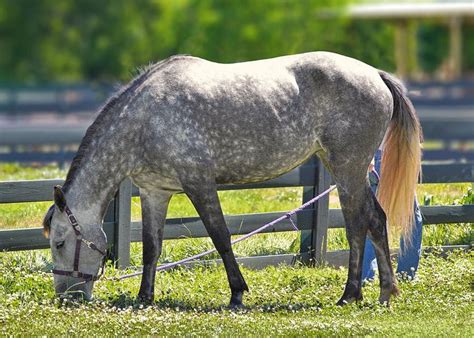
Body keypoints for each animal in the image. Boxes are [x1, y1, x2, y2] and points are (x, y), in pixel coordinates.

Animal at [43, 52, 422, 306]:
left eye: (59, 243)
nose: (66, 297)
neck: (146, 119)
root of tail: (375, 74)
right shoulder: (155, 192)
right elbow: (152, 247)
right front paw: (144, 297)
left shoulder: (199, 184)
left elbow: (221, 237)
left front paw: (237, 293)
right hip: (349, 170)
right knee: (376, 219)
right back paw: (385, 291)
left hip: (347, 168)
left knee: (357, 225)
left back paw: (350, 294)